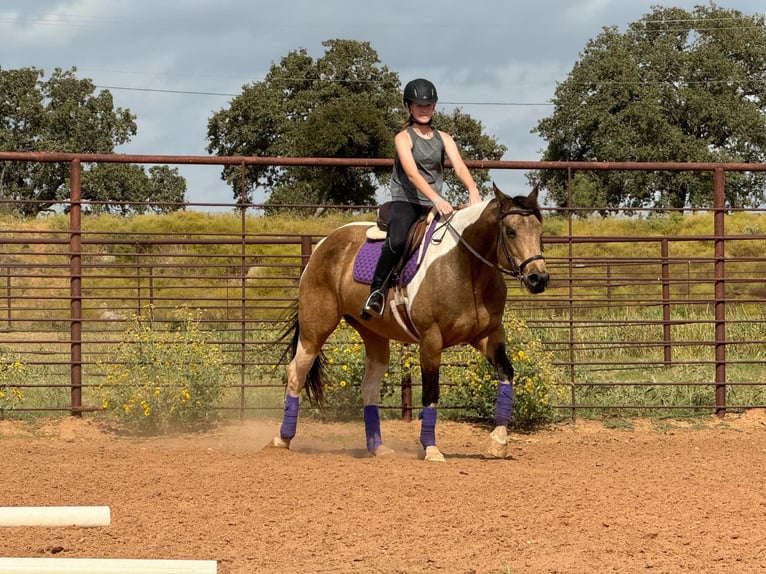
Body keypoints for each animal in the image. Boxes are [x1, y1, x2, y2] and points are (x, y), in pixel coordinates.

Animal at [272, 184, 548, 464]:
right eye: (511, 231)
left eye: (539, 232)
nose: (538, 278)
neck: (465, 268)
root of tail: (323, 244)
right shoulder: (431, 340)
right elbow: (430, 392)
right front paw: (431, 448)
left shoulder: (488, 336)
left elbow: (507, 374)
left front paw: (498, 442)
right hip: (316, 327)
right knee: (296, 372)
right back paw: (282, 439)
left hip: (374, 335)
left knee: (369, 387)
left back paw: (378, 447)